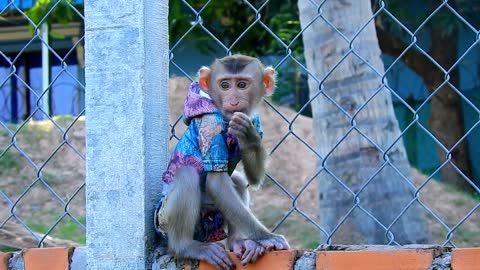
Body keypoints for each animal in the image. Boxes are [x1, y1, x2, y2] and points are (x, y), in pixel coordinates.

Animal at [155, 53, 288, 268]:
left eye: (242, 85)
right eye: (225, 85)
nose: (233, 101)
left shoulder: (255, 119)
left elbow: (254, 178)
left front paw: (248, 137)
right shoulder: (211, 124)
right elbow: (217, 183)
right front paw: (267, 237)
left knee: (237, 180)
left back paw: (238, 243)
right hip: (164, 220)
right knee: (187, 174)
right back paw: (185, 247)